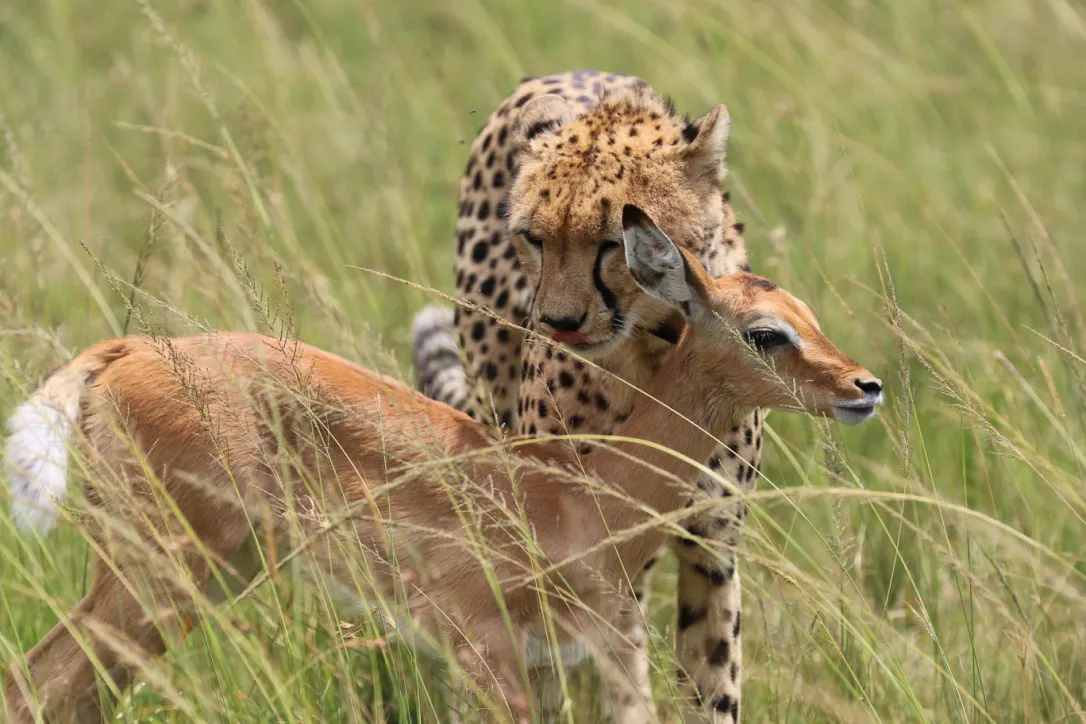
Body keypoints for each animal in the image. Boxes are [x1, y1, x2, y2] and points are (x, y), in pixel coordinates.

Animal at [3, 205, 882, 723]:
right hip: (155, 577)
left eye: (809, 314)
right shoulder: (487, 657)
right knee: (33, 684)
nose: (864, 386)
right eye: (766, 332)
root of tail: (126, 352)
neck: (582, 501)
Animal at [411, 70, 764, 723]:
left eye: (613, 242)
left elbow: (712, 679)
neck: (655, 351)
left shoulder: (713, 542)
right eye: (534, 238)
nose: (559, 322)